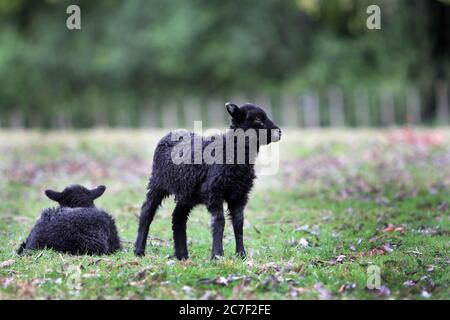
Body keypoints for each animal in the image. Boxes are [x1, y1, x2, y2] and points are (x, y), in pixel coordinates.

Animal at [134, 102, 282, 260]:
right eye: (257, 120)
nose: (279, 132)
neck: (230, 152)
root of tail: (170, 133)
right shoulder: (213, 191)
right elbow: (219, 221)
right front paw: (217, 254)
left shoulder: (239, 194)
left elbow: (239, 222)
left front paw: (241, 254)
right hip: (158, 182)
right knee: (147, 210)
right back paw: (139, 250)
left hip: (187, 193)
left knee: (178, 217)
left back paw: (182, 255)